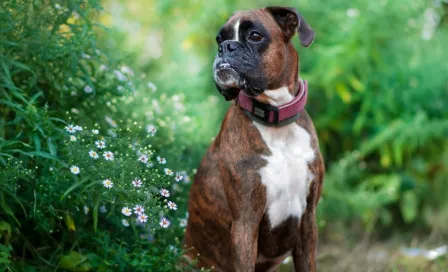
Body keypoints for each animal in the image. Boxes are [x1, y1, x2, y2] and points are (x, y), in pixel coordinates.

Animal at [184, 6, 324, 272]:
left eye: (255, 36)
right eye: (219, 38)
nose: (225, 46)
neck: (276, 121)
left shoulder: (308, 219)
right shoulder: (245, 224)